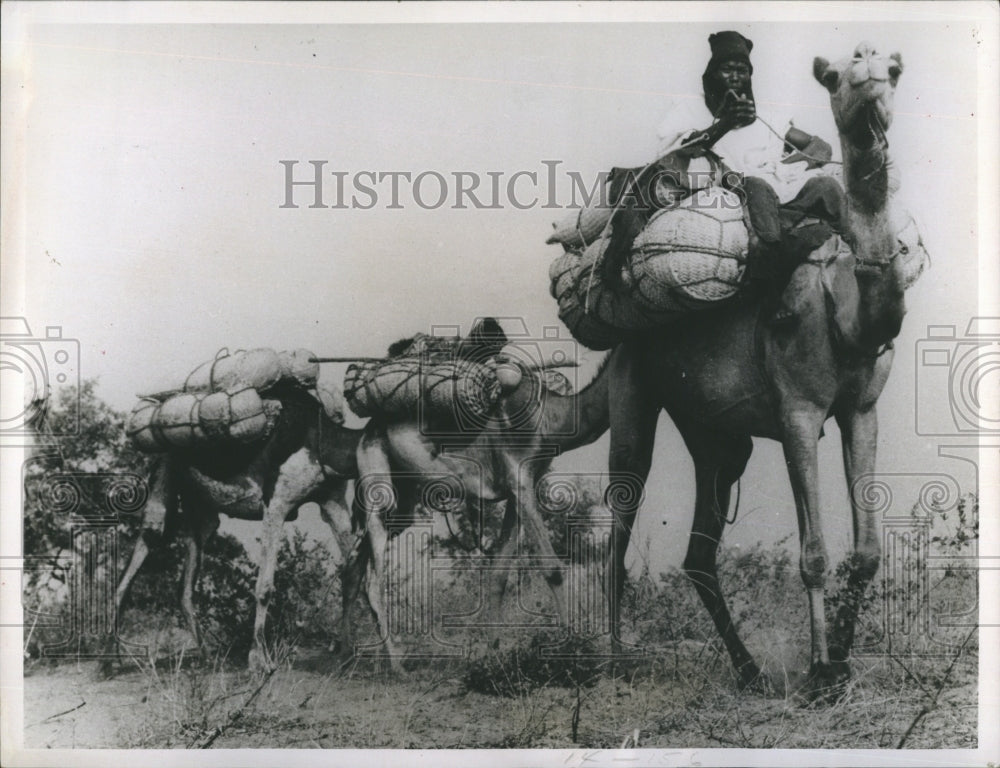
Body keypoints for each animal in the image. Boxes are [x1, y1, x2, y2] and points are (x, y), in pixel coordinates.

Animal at [604, 43, 912, 704]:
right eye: (838, 75)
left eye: (894, 71)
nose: (869, 75)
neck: (846, 312)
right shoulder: (798, 411)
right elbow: (814, 553)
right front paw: (820, 674)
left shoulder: (862, 411)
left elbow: (867, 551)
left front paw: (841, 663)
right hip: (631, 385)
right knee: (619, 516)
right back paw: (610, 658)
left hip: (718, 436)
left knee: (699, 550)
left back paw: (748, 670)